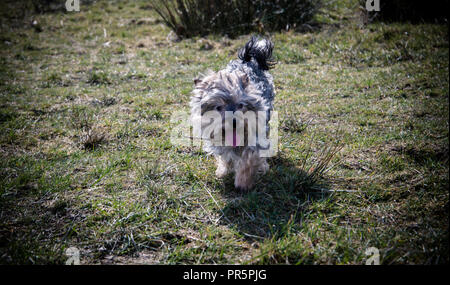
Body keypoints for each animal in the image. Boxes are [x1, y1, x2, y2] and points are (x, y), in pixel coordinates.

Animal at [189, 36, 274, 190]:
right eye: (218, 107)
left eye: (241, 105)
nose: (234, 122)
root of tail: (248, 60)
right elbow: (225, 156)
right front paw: (223, 170)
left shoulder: (255, 138)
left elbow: (249, 160)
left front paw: (243, 183)